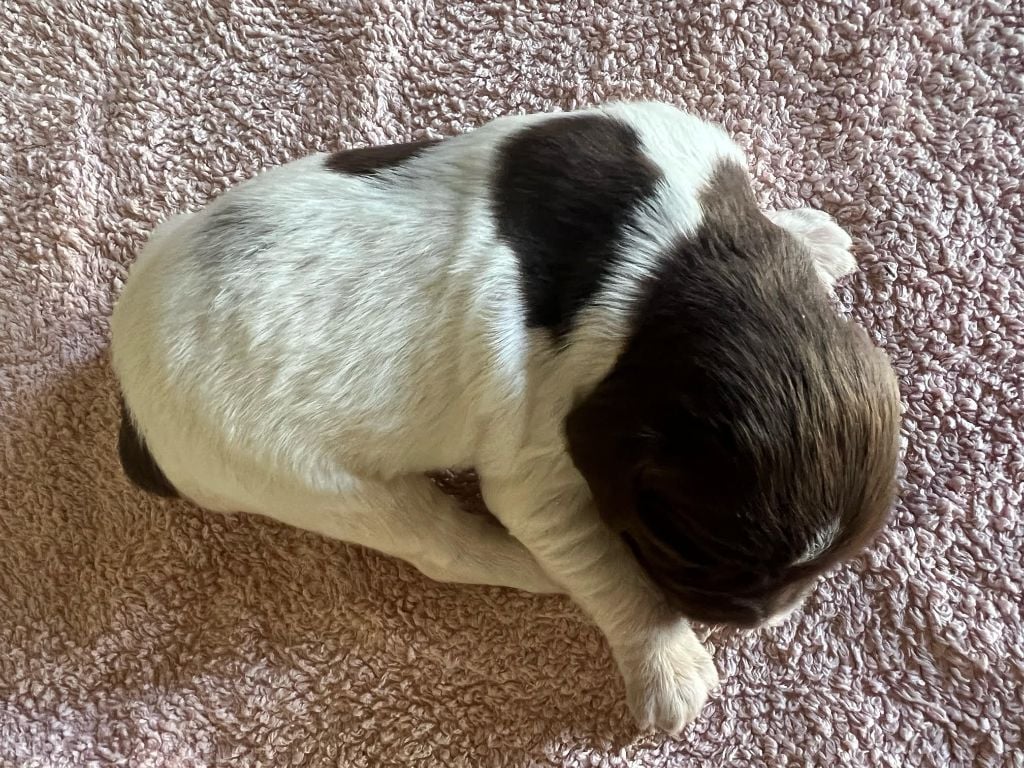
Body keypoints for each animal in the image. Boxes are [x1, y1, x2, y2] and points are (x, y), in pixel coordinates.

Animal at [111, 102, 902, 733]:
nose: (764, 620)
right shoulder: (539, 464)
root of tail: (130, 401)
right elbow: (606, 568)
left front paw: (804, 235)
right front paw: (666, 659)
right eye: (682, 549)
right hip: (311, 482)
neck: (670, 271)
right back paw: (527, 567)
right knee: (442, 544)